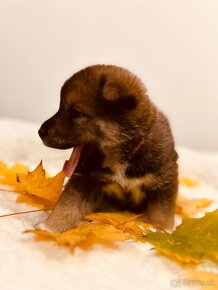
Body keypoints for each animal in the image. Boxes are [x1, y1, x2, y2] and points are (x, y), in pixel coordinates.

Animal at [38, 64, 179, 232]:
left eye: (76, 112)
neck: (126, 157)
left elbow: (160, 213)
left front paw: (161, 229)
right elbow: (68, 204)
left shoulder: (164, 180)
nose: (40, 132)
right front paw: (49, 227)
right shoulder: (86, 179)